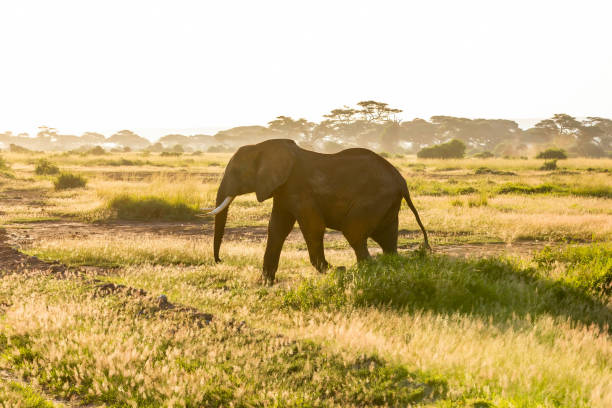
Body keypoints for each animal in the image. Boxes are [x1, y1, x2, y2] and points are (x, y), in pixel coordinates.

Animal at [210, 139, 430, 286]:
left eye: (237, 172)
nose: (220, 260)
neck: (262, 147)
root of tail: (402, 182)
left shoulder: (299, 189)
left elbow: (312, 226)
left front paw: (335, 270)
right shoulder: (283, 190)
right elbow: (277, 228)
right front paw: (266, 283)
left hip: (375, 198)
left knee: (353, 231)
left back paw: (364, 272)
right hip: (387, 203)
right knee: (387, 239)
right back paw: (387, 269)